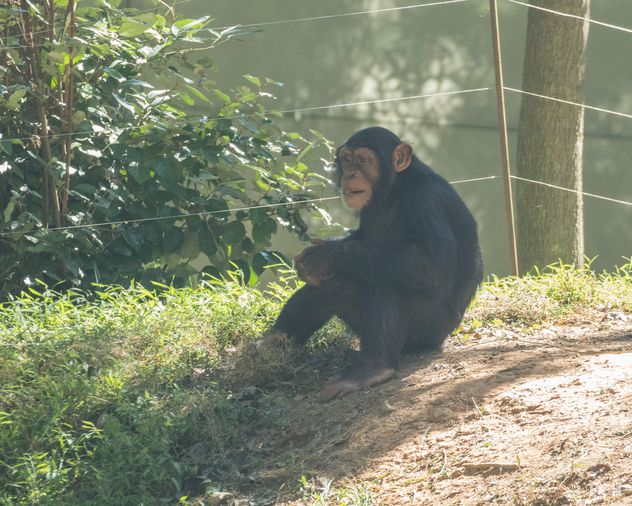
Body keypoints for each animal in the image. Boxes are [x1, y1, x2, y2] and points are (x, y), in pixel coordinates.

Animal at [272, 127, 484, 404]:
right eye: (347, 160)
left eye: (363, 161)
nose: (350, 174)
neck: (393, 190)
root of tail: (443, 340)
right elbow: (360, 239)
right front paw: (314, 260)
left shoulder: (426, 202)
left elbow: (430, 265)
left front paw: (323, 254)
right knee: (334, 285)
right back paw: (268, 346)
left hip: (429, 332)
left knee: (393, 289)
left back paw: (373, 370)